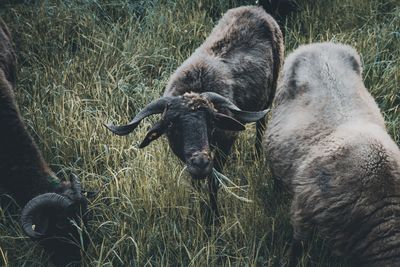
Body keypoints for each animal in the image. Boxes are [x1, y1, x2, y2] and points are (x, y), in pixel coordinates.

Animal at [106, 5, 284, 221]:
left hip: (271, 92)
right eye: (172, 124)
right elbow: (196, 184)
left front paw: (213, 217)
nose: (200, 162)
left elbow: (213, 183)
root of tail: (255, 8)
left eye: (211, 122)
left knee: (261, 126)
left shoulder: (225, 143)